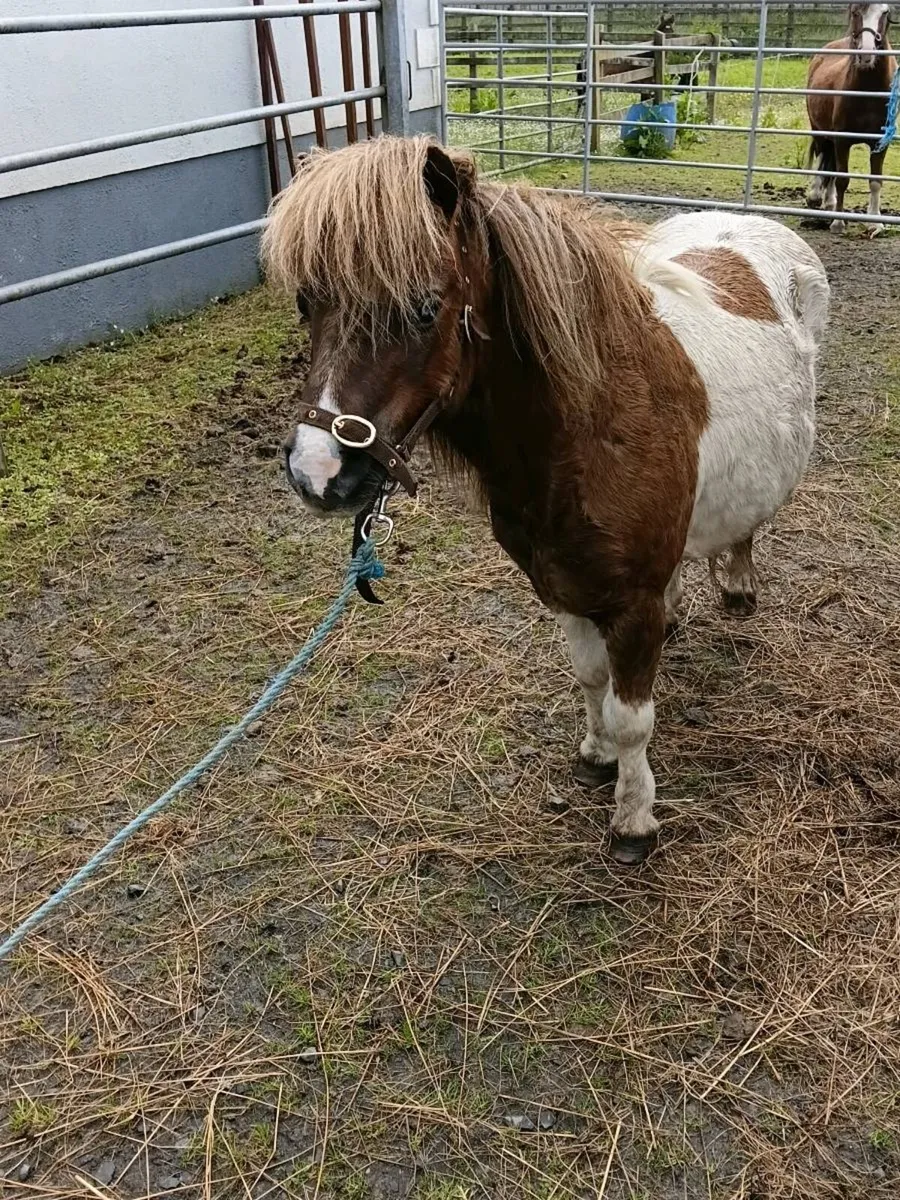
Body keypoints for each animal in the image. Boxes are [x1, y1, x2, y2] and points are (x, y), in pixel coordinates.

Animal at [262, 136, 829, 864]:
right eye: (308, 303)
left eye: (424, 308)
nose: (317, 471)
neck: (590, 424)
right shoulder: (560, 583)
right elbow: (591, 679)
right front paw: (595, 756)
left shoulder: (630, 605)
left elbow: (633, 718)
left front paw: (633, 820)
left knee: (744, 531)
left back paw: (736, 586)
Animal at [807, 3, 897, 236]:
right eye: (856, 11)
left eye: (885, 12)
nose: (866, 55)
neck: (868, 91)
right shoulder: (842, 140)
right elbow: (842, 179)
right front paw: (838, 222)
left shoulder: (880, 143)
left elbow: (875, 181)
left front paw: (875, 222)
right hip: (819, 131)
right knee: (823, 156)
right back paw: (816, 197)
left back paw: (829, 202)